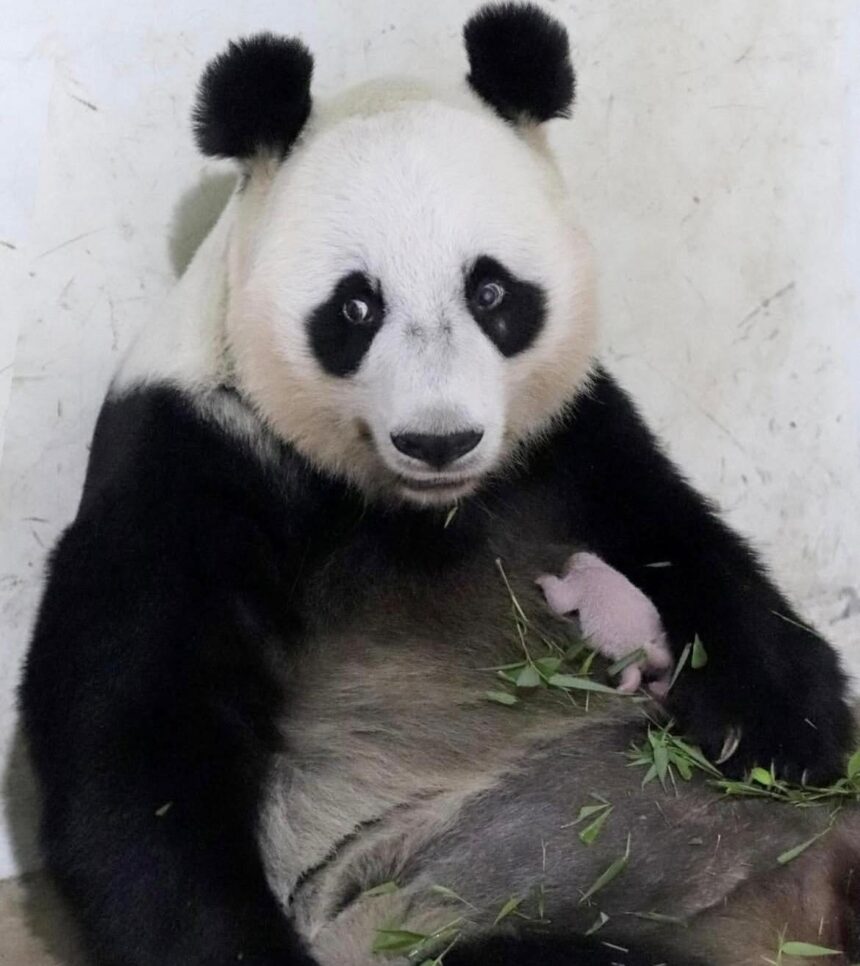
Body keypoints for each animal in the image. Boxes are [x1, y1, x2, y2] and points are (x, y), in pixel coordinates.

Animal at [20, 5, 859, 966]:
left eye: (491, 292)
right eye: (355, 307)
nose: (439, 439)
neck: (415, 510)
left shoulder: (567, 438)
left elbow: (683, 543)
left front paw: (780, 733)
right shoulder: (192, 459)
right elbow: (137, 738)